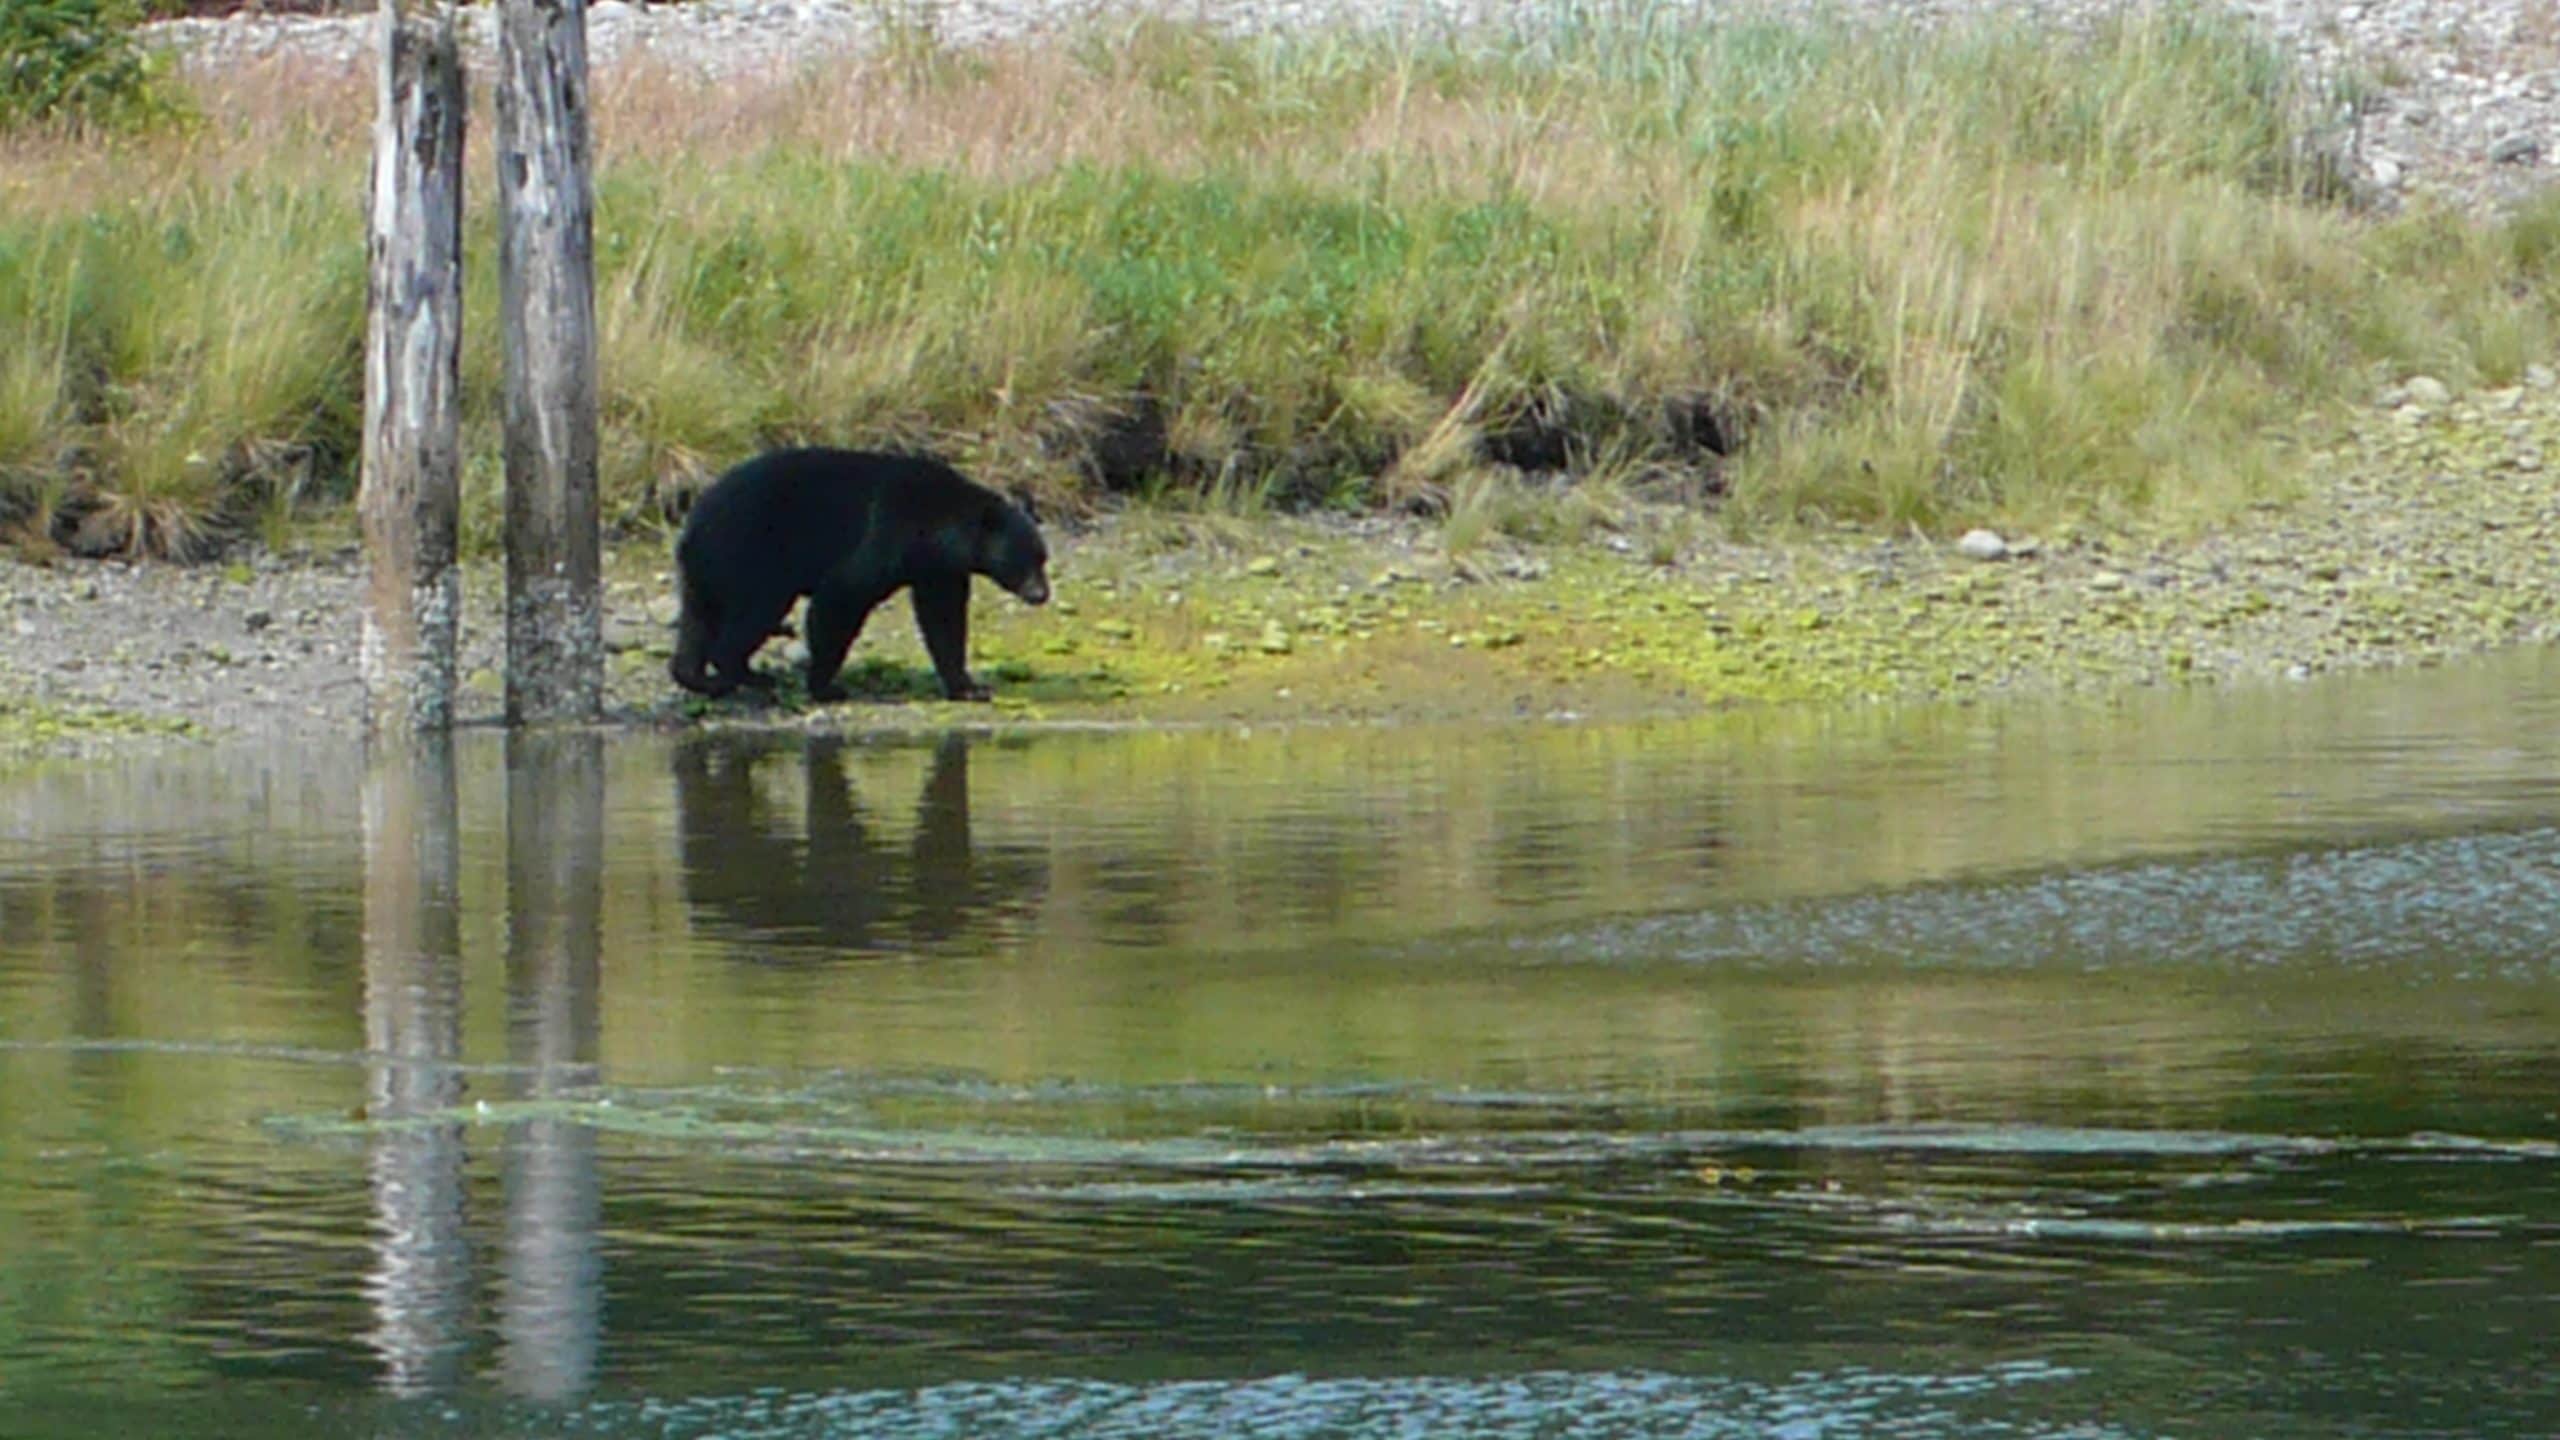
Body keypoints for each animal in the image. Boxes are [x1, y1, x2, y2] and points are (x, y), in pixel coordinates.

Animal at [668, 447, 1051, 703]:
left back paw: (697, 677)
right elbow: (841, 597)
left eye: (1043, 557)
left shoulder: (938, 569)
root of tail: (692, 528)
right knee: (753, 613)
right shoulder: (887, 532)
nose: (1042, 594)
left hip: (705, 572)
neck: (936, 528)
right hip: (750, 555)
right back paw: (747, 675)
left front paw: (969, 687)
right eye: (1024, 559)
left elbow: (944, 620)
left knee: (697, 619)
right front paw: (825, 686)